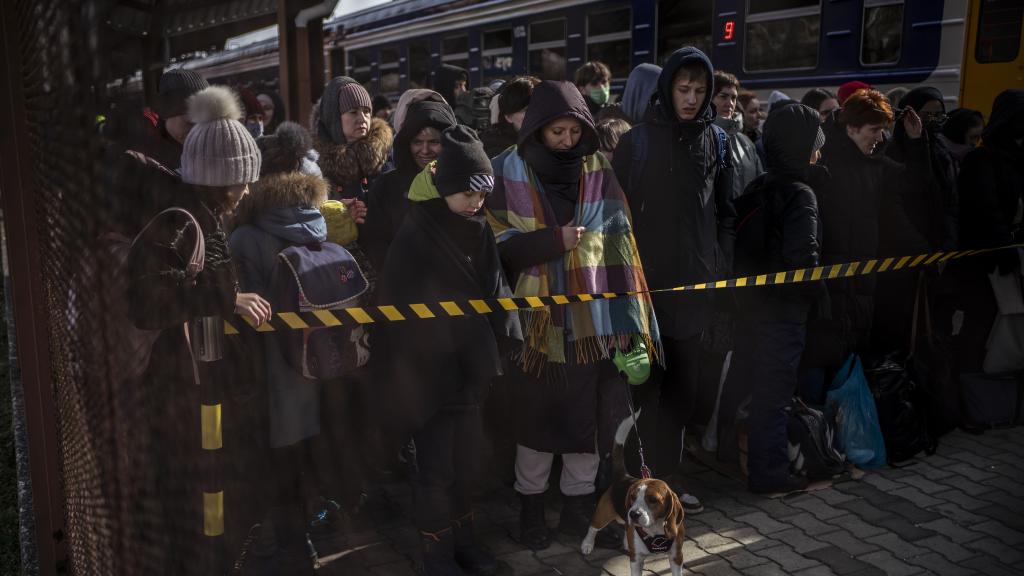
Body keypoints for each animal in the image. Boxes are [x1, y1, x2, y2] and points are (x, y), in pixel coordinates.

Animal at [581, 414, 684, 569]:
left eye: (653, 499)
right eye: (632, 497)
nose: (633, 514)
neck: (655, 530)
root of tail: (624, 476)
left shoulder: (677, 557)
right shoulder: (636, 559)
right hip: (603, 514)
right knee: (593, 527)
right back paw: (587, 544)